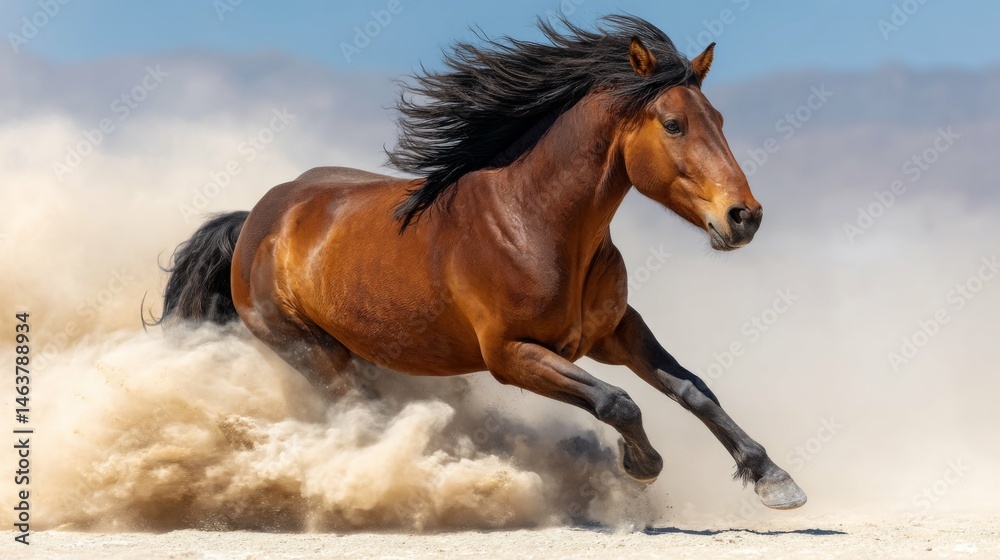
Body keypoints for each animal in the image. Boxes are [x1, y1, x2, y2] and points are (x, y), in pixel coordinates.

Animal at [158, 15, 806, 510]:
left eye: (718, 120)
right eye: (674, 124)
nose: (744, 217)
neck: (535, 224)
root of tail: (258, 222)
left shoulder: (615, 331)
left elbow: (693, 389)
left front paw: (773, 478)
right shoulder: (511, 355)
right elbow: (616, 400)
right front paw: (640, 462)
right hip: (311, 352)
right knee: (363, 416)